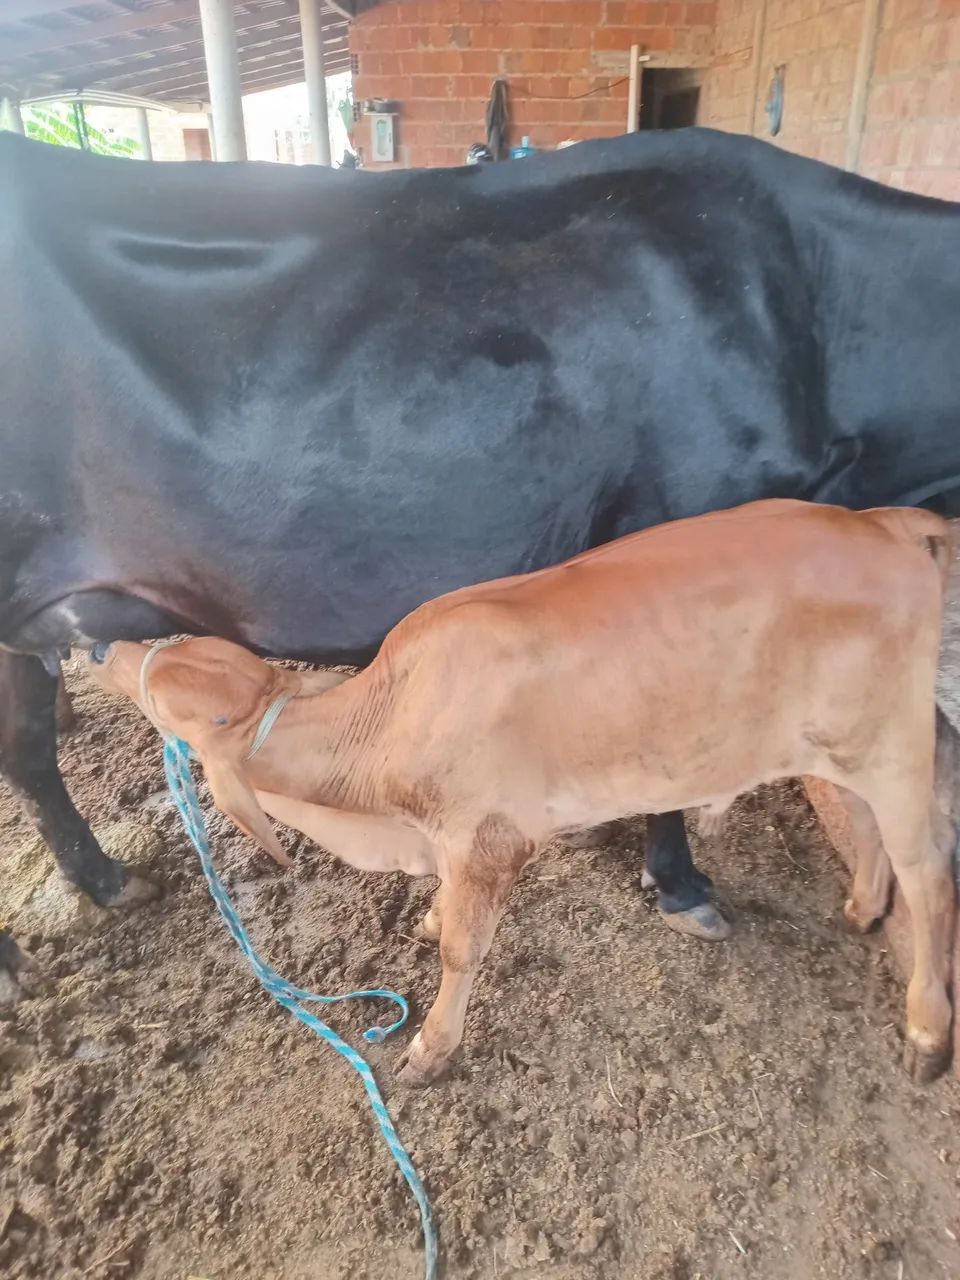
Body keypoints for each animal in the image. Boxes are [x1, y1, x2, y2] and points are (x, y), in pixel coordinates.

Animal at [86, 500, 955, 1084]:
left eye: (178, 704)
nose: (109, 646)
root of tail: (886, 522)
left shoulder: (489, 837)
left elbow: (461, 950)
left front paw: (431, 1048)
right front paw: (430, 916)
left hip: (896, 744)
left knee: (930, 873)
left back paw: (926, 1031)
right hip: (844, 744)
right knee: (871, 830)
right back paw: (861, 906)